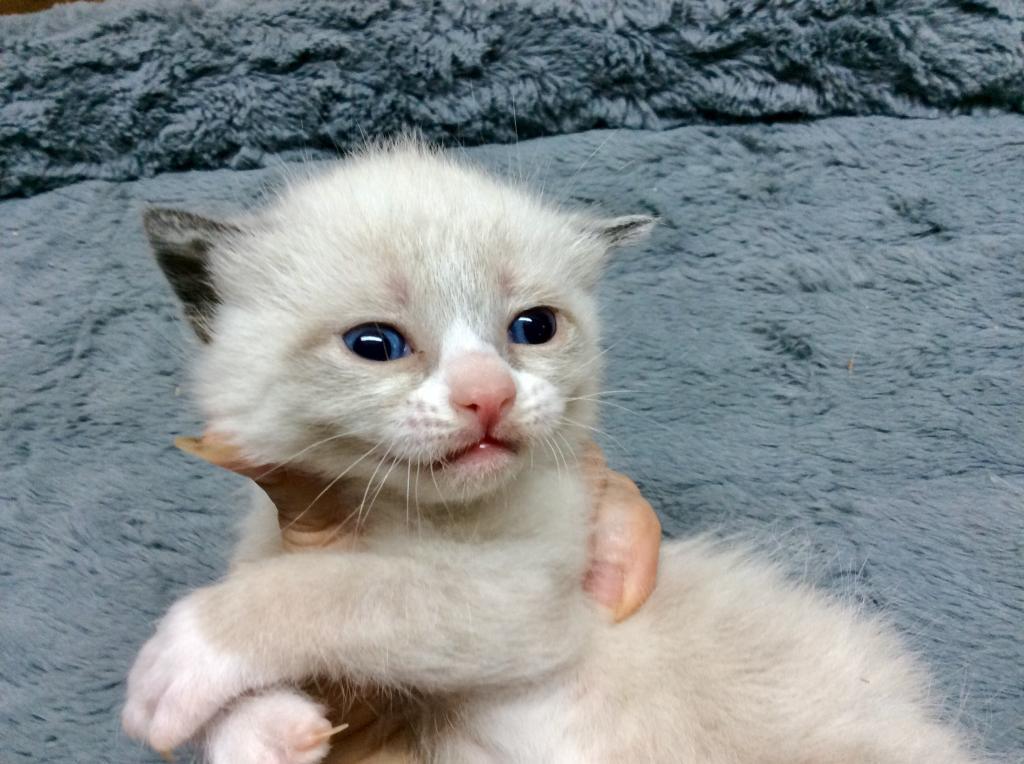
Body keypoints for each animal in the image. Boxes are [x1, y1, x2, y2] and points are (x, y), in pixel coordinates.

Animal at [123, 139, 976, 763]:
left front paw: (178, 663)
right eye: (375, 345)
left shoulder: (521, 590)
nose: (488, 396)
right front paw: (264, 729)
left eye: (532, 327)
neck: (395, 515)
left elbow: (343, 591)